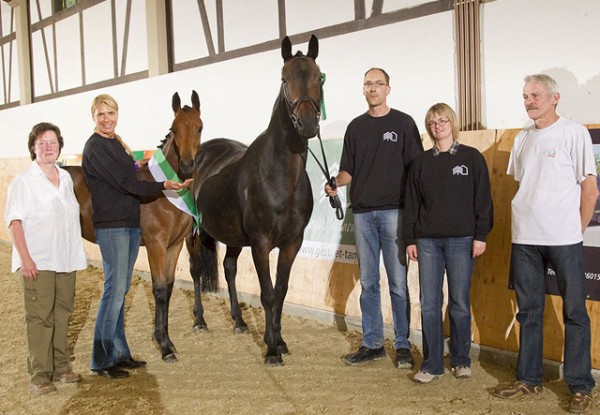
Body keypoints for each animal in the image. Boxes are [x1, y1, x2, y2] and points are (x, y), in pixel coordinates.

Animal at [64, 91, 211, 360]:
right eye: (174, 128)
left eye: (199, 127)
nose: (187, 165)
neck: (165, 195)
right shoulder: (155, 245)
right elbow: (159, 289)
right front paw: (164, 346)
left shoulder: (174, 246)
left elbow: (169, 288)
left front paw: (165, 339)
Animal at [188, 36, 324, 368]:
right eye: (284, 79)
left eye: (318, 77)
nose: (307, 125)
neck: (280, 178)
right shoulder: (261, 243)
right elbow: (267, 294)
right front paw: (271, 350)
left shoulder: (292, 243)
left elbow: (281, 290)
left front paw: (279, 340)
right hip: (195, 232)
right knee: (196, 269)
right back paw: (199, 321)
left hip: (233, 237)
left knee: (228, 269)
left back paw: (238, 322)